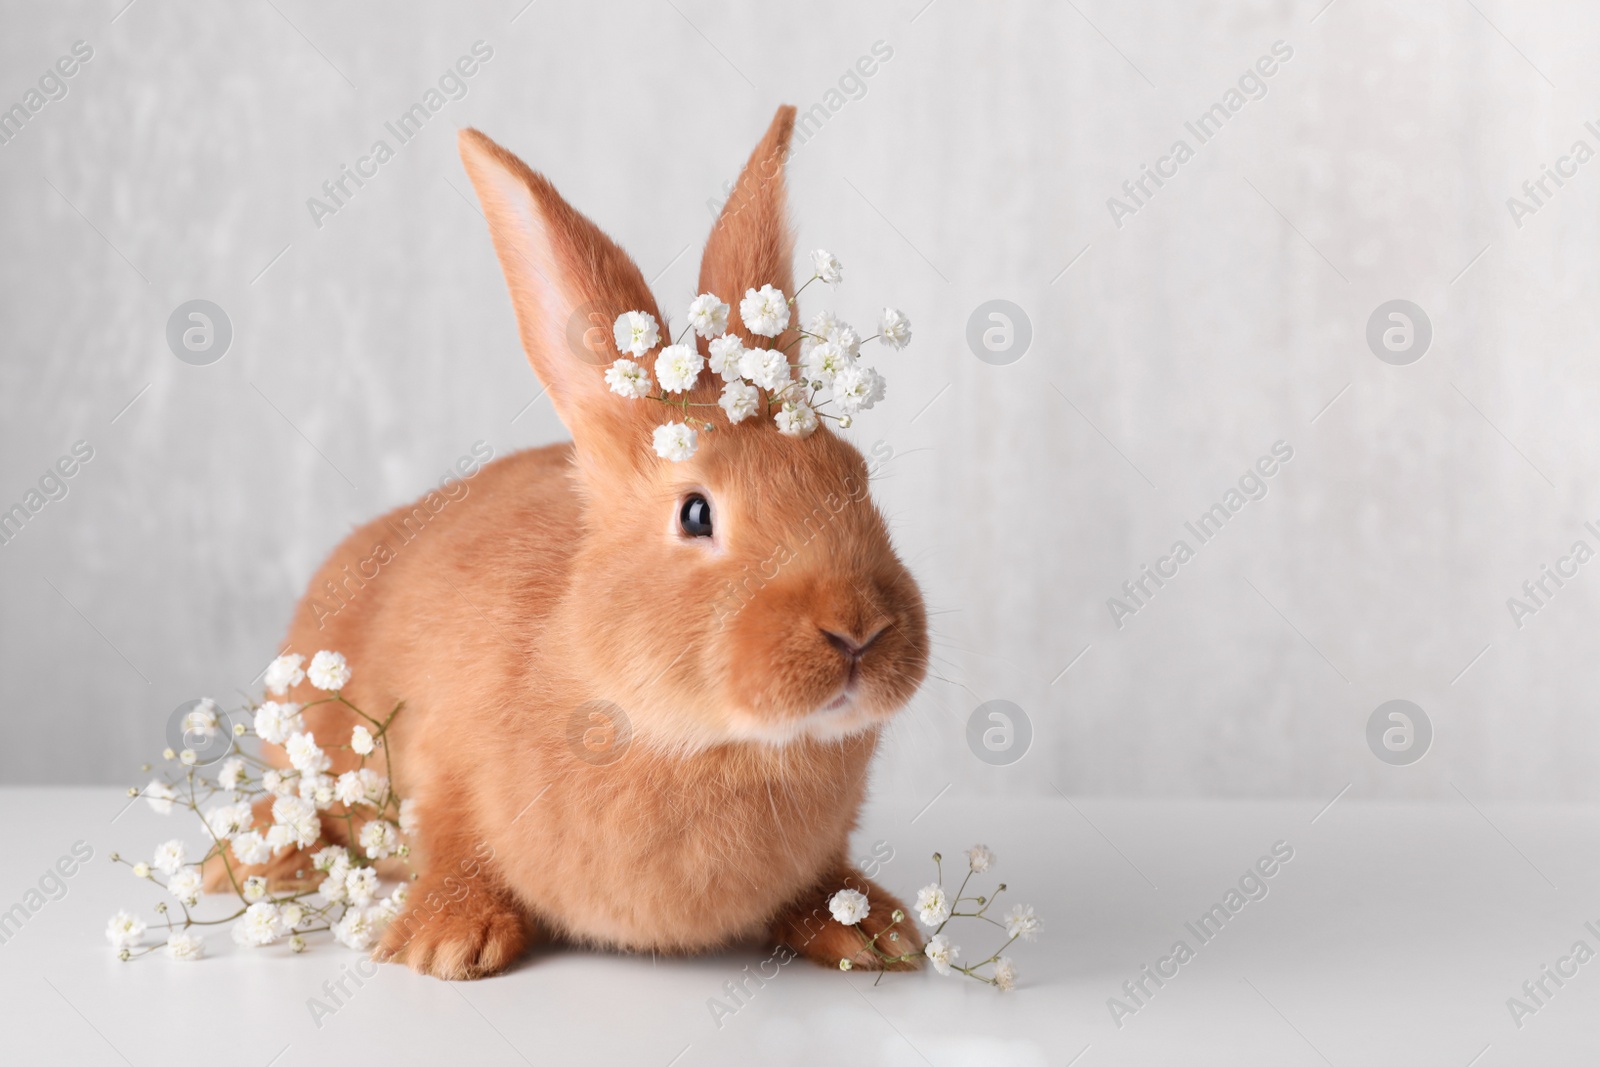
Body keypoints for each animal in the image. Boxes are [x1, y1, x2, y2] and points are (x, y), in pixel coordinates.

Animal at [230, 106, 928, 979]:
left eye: (856, 475)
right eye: (695, 514)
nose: (859, 629)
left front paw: (874, 930)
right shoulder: (444, 767)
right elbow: (454, 842)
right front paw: (445, 940)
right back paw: (248, 859)